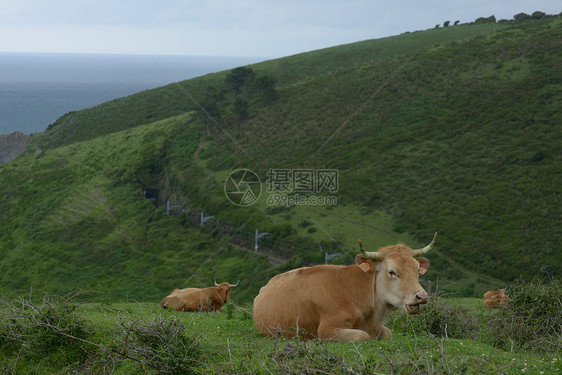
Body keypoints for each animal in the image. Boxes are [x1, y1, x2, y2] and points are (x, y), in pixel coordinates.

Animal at [252, 234, 436, 342]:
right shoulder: (326, 330)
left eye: (417, 270)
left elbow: (388, 333)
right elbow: (362, 336)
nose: (421, 296)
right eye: (392, 272)